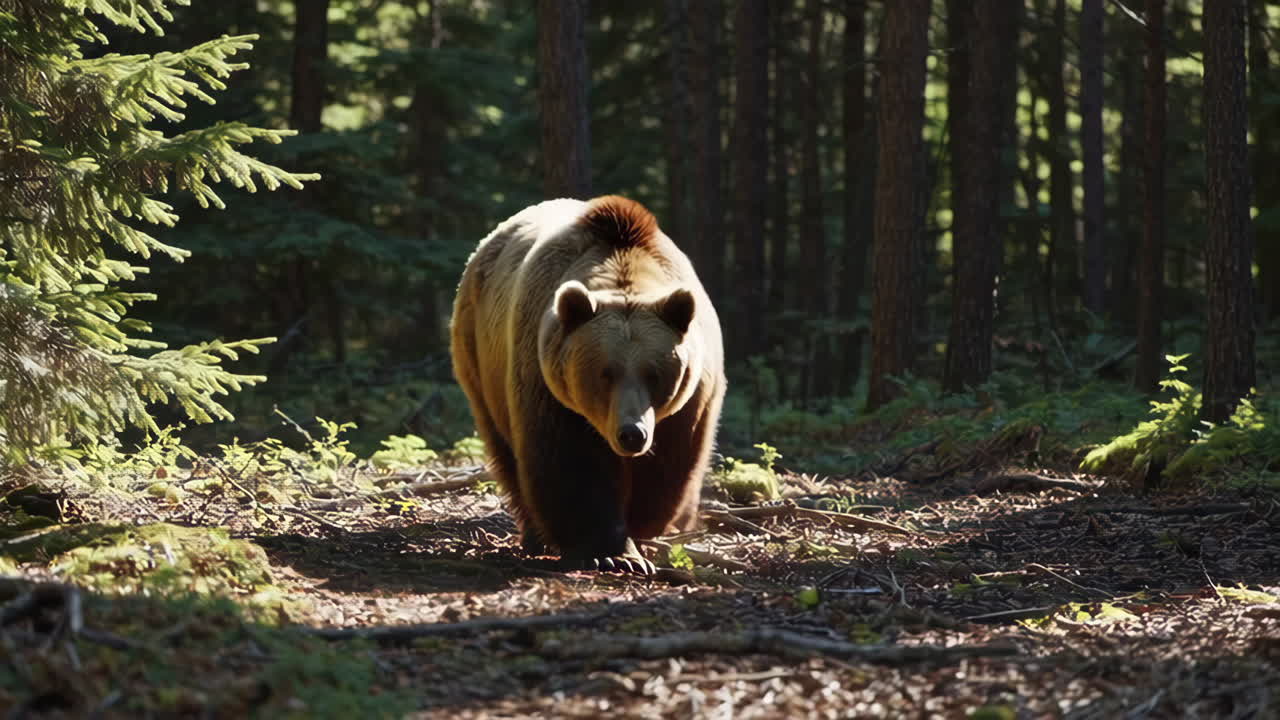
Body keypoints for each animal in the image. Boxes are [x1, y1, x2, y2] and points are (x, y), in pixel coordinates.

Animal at [449, 195, 726, 574]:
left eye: (653, 373)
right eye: (605, 372)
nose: (631, 433)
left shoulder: (690, 401)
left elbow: (667, 467)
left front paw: (638, 529)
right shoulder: (548, 384)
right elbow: (571, 464)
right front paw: (610, 550)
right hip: (478, 355)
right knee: (507, 451)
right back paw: (535, 536)